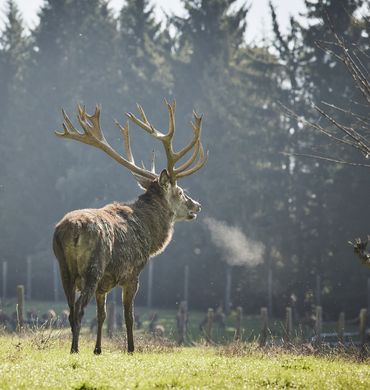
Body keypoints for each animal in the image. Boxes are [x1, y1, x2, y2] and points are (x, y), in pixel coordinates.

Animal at [52, 101, 207, 354]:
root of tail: (72, 229)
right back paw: (74, 349)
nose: (197, 205)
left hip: (63, 267)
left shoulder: (104, 284)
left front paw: (98, 349)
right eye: (181, 192)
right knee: (79, 309)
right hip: (93, 266)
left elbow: (103, 315)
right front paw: (132, 348)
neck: (151, 237)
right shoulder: (133, 272)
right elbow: (129, 316)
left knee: (71, 310)